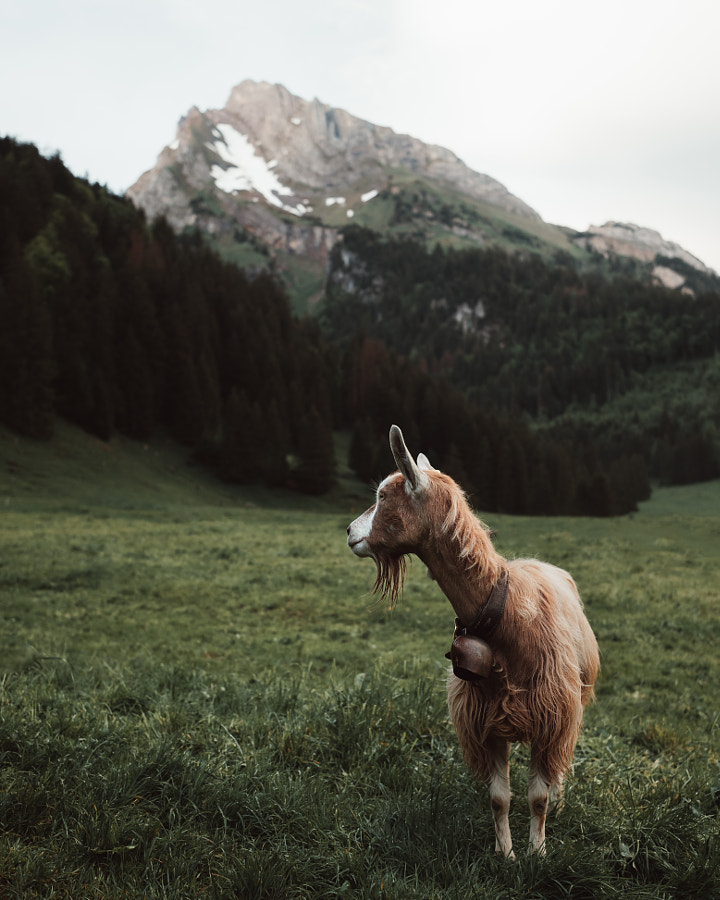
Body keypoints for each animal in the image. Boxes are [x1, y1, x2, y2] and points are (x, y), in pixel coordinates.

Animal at [347, 425, 599, 858]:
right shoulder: (487, 723)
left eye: (382, 495)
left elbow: (538, 798)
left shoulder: (550, 716)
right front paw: (506, 854)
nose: (348, 532)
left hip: (573, 704)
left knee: (558, 767)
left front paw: (537, 852)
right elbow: (499, 799)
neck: (507, 619)